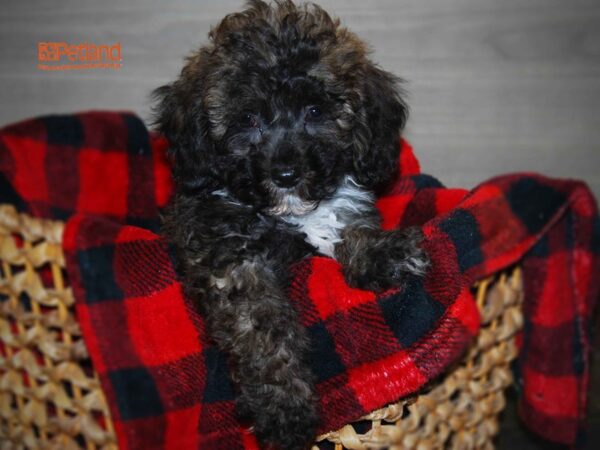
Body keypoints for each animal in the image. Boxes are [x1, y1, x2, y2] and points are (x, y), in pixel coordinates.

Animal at [154, 1, 426, 448]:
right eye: (248, 119)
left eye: (315, 111)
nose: (285, 174)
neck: (289, 214)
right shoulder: (231, 262)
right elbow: (263, 331)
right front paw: (284, 408)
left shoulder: (343, 207)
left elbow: (352, 229)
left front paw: (387, 253)